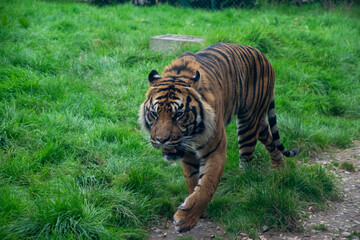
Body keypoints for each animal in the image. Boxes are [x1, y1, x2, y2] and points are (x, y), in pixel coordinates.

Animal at [138, 42, 298, 232]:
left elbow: (207, 184)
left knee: (247, 161)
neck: (192, 135)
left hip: (248, 122)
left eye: (178, 115)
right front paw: (194, 207)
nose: (162, 140)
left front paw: (186, 219)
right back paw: (280, 168)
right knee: (269, 137)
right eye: (154, 114)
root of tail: (264, 56)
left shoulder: (215, 151)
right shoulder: (188, 154)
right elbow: (193, 181)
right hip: (258, 121)